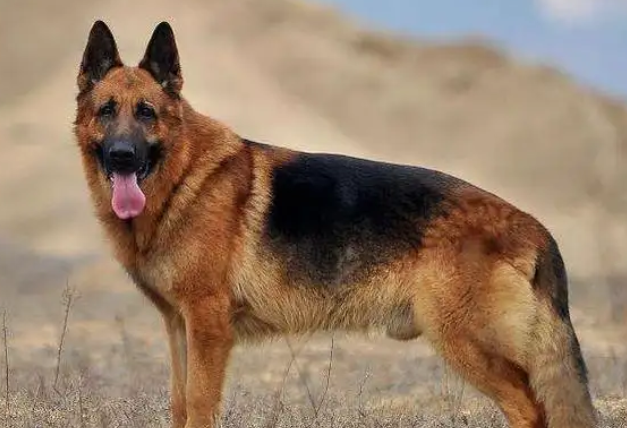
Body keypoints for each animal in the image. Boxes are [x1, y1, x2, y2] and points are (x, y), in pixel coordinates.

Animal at [73, 20, 596, 428]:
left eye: (146, 113)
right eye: (106, 111)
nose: (122, 156)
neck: (183, 179)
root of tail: (533, 226)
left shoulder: (208, 327)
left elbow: (200, 407)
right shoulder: (179, 328)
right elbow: (181, 405)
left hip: (464, 341)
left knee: (529, 409)